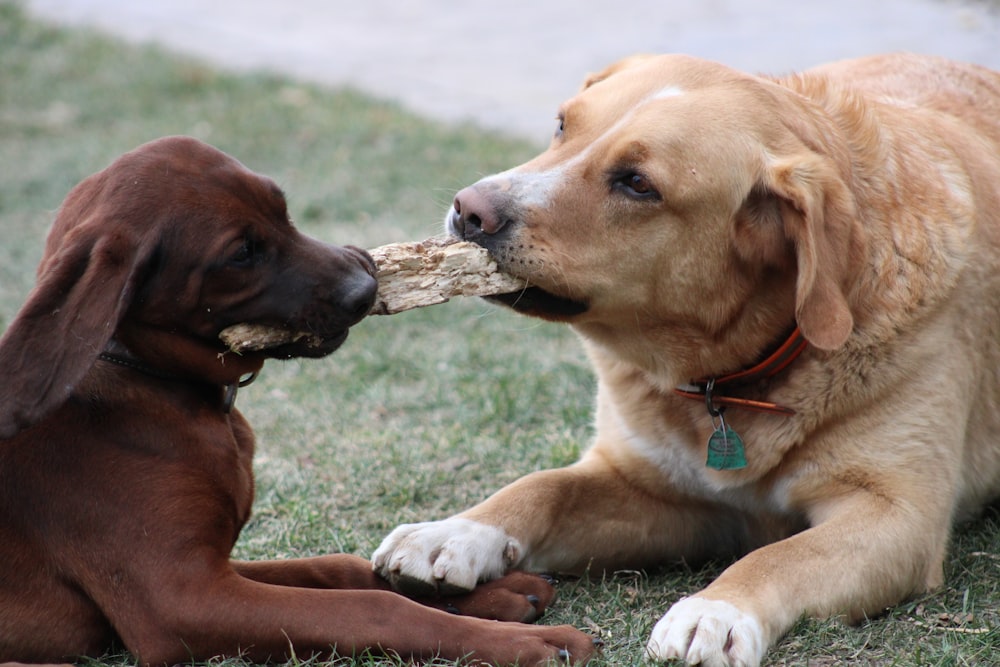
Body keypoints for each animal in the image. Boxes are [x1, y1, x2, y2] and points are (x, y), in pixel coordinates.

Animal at [0, 138, 596, 664]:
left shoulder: (220, 569)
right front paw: (529, 644)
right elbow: (375, 608)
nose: (365, 286)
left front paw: (487, 596)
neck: (145, 376)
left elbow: (343, 570)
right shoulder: (179, 599)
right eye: (241, 253)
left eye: (282, 210)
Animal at [372, 53, 1000, 667]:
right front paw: (455, 531)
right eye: (561, 126)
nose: (468, 211)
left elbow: (781, 557)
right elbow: (546, 485)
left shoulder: (898, 516)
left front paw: (716, 610)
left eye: (637, 184)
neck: (728, 380)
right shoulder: (662, 494)